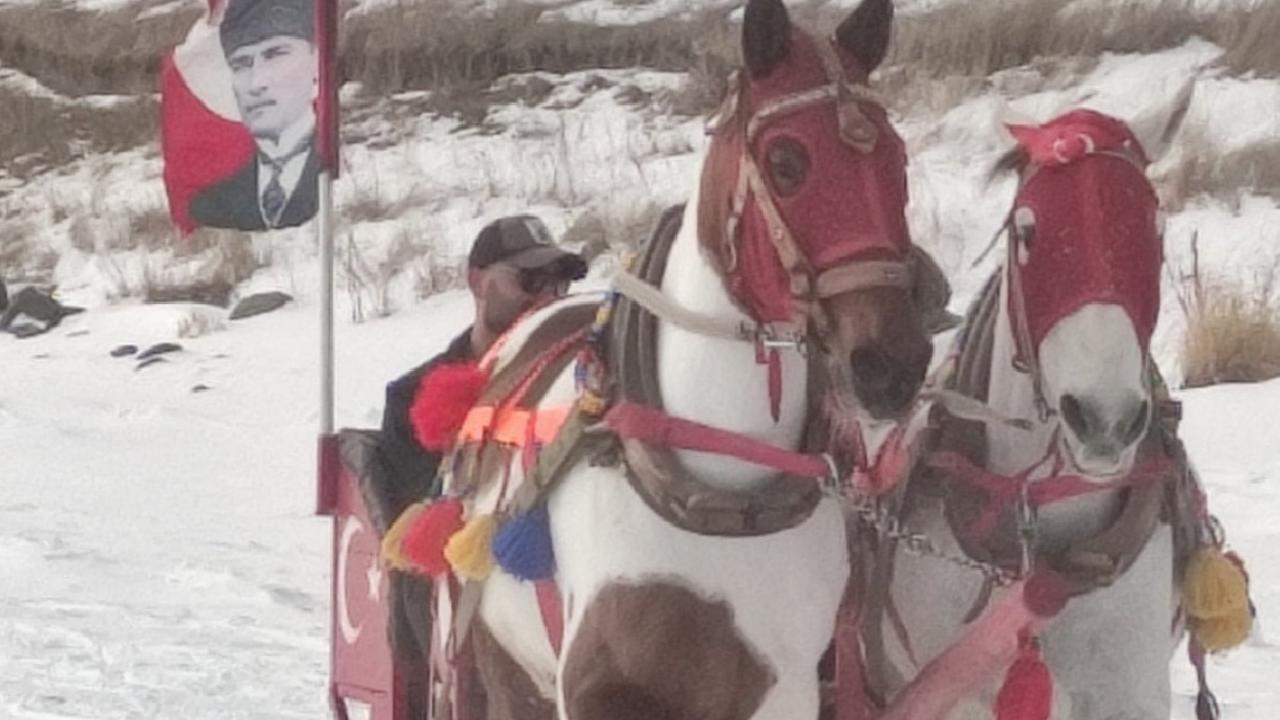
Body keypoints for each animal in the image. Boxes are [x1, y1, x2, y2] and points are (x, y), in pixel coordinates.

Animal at [412, 1, 939, 718]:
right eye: (786, 161)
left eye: (898, 160)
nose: (893, 365)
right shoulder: (601, 691)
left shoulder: (787, 687)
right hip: (494, 660)